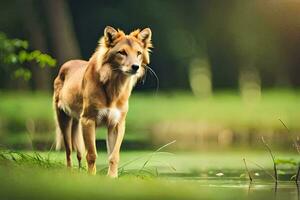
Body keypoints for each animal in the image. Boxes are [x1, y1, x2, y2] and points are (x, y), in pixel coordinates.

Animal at [52, 26, 152, 177]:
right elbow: (91, 154)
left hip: (76, 122)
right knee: (68, 151)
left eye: (139, 53)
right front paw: (92, 177)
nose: (135, 67)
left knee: (78, 153)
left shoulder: (117, 123)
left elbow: (114, 156)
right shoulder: (88, 120)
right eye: (122, 52)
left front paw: (112, 177)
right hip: (63, 119)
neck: (114, 86)